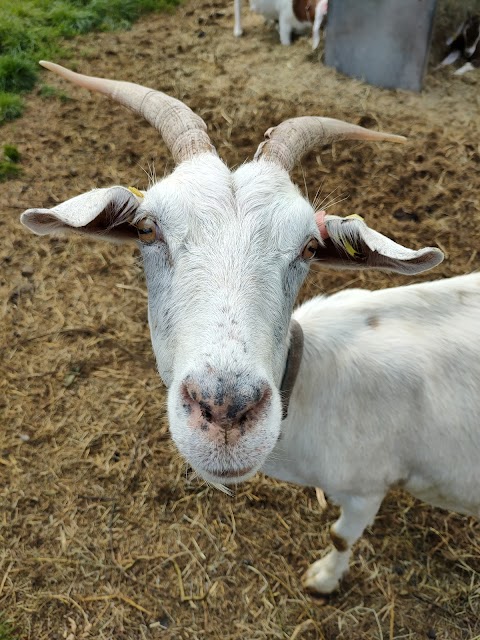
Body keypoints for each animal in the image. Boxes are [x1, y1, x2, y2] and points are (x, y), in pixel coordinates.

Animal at [22, 60, 480, 596]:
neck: (313, 380)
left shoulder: (368, 486)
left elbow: (341, 536)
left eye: (309, 247)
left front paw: (322, 580)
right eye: (147, 229)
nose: (225, 411)